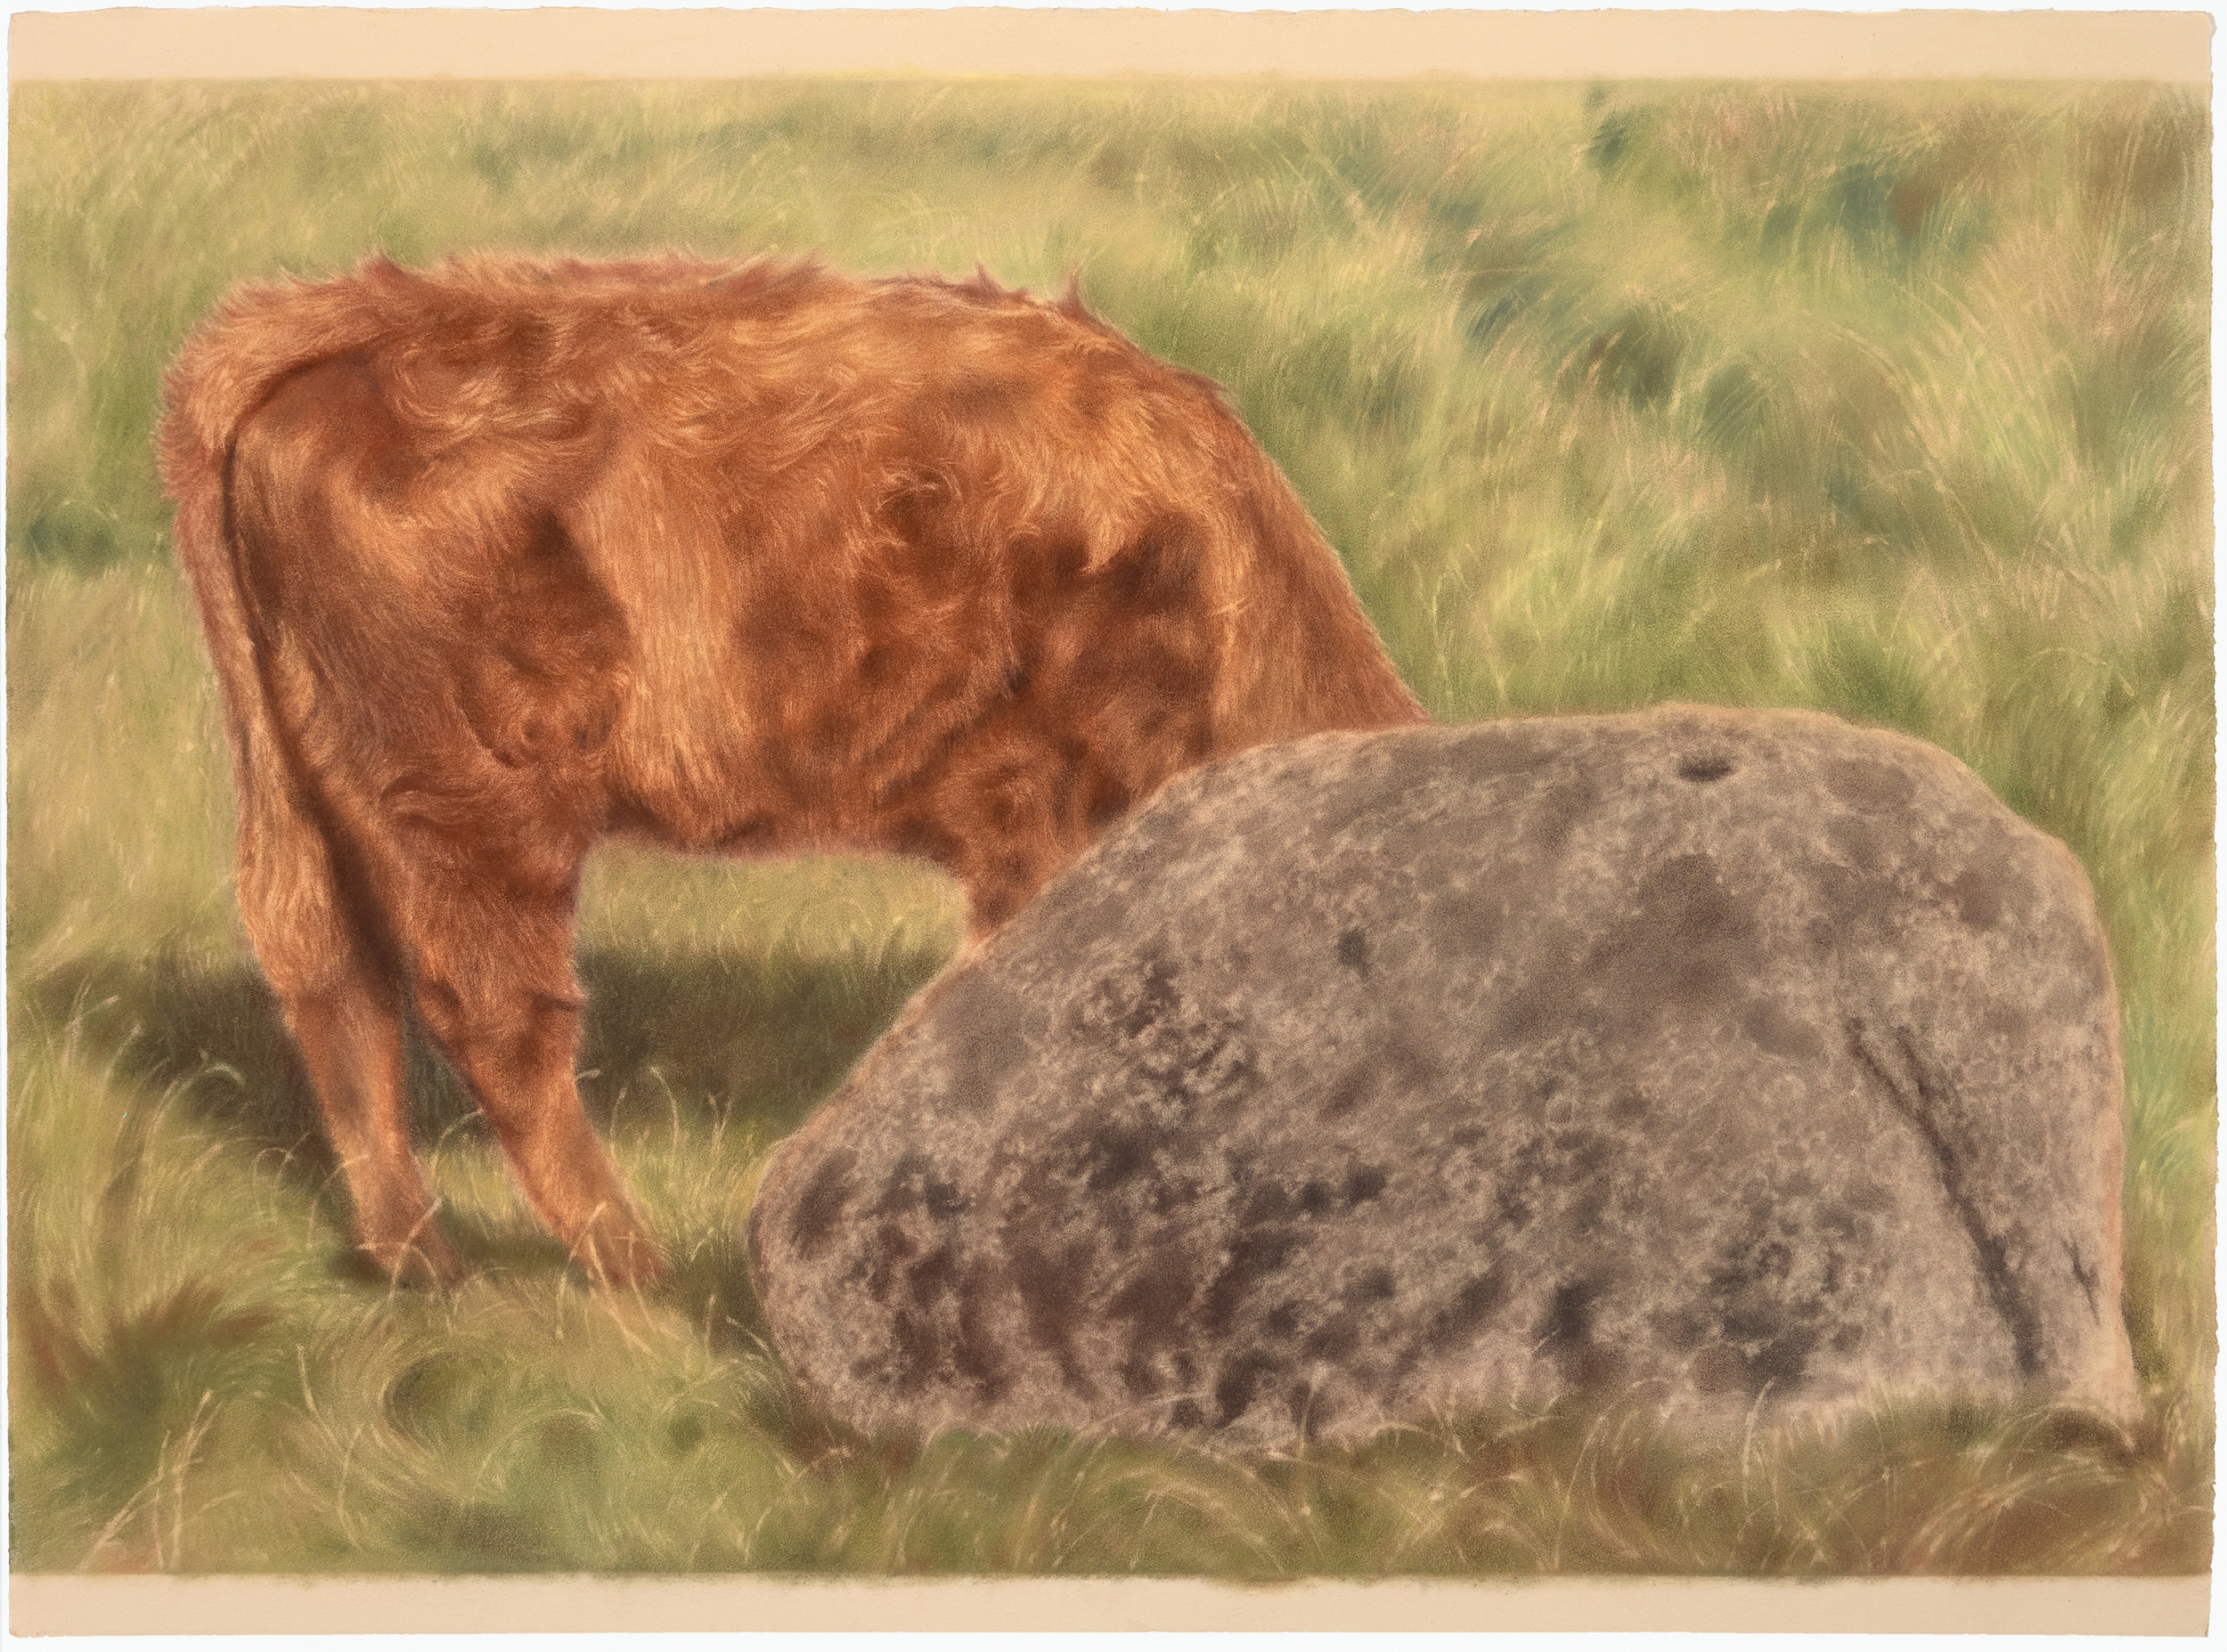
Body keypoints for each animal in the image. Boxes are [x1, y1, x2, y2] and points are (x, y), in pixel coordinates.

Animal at [158, 252, 1427, 1291]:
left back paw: (418, 1256)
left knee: (330, 976)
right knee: (490, 1010)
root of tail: (369, 322)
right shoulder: (1043, 821)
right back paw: (634, 1268)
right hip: (473, 805)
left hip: (307, 797)